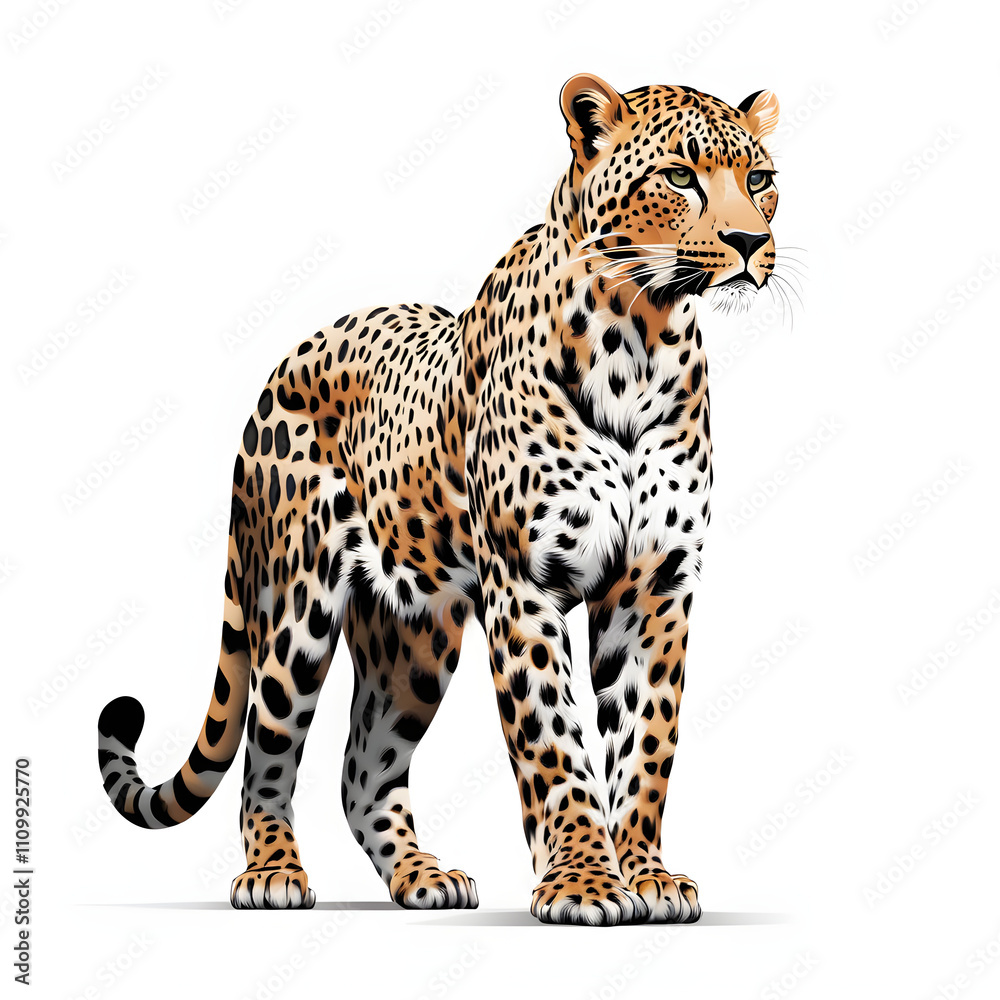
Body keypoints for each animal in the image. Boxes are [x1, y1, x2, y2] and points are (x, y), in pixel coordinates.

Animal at [97, 74, 782, 926]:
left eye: (761, 180)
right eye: (680, 176)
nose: (751, 243)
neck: (643, 341)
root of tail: (286, 360)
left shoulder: (655, 584)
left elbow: (645, 741)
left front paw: (648, 876)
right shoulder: (526, 581)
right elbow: (554, 739)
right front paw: (584, 884)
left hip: (413, 639)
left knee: (364, 769)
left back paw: (423, 878)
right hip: (296, 607)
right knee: (266, 744)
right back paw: (273, 875)